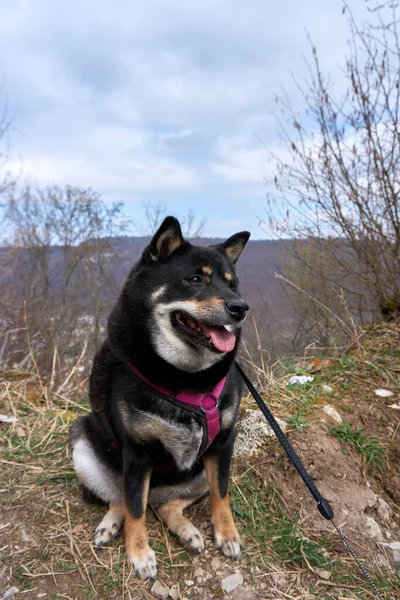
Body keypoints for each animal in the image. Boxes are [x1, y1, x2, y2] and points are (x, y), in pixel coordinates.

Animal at [69, 216, 250, 576]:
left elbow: (221, 494)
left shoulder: (223, 444)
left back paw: (186, 531)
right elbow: (134, 510)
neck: (189, 379)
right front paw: (139, 554)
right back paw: (110, 525)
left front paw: (227, 533)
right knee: (123, 500)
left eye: (232, 284)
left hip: (196, 475)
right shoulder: (137, 455)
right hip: (84, 448)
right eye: (195, 279)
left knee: (166, 505)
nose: (240, 307)